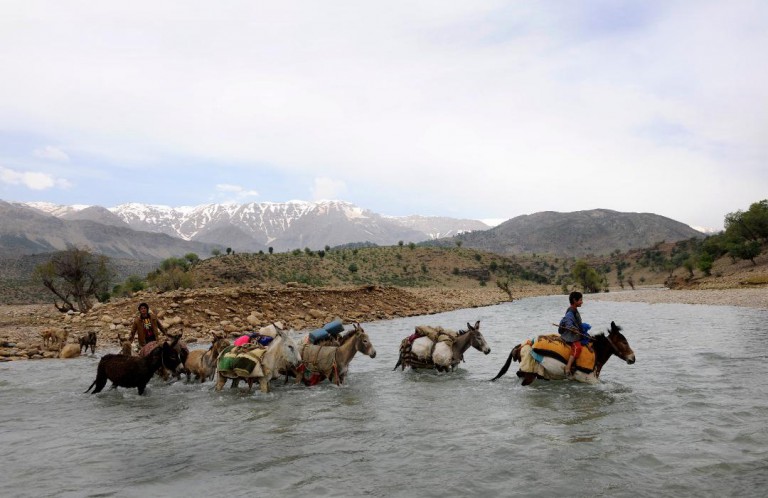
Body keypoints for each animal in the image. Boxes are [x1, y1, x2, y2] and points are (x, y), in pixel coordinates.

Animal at [492, 320, 636, 388]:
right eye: (623, 342)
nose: (633, 358)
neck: (596, 351)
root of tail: (522, 345)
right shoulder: (587, 378)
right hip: (529, 374)